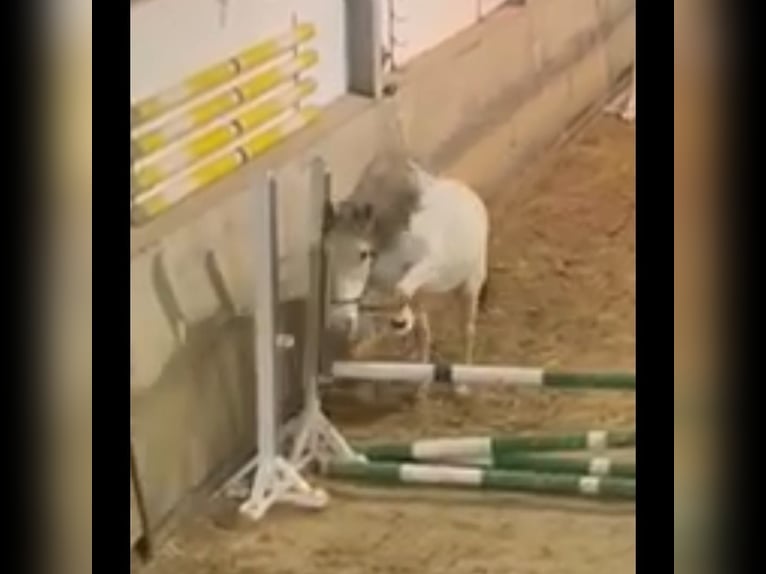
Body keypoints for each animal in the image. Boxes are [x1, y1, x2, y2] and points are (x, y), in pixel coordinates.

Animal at [324, 151, 489, 397]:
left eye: (363, 254)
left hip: (469, 285)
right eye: (327, 254)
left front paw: (399, 321)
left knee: (466, 329)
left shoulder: (428, 266)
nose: (338, 321)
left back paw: (462, 382)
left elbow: (401, 291)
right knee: (424, 333)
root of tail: (470, 194)